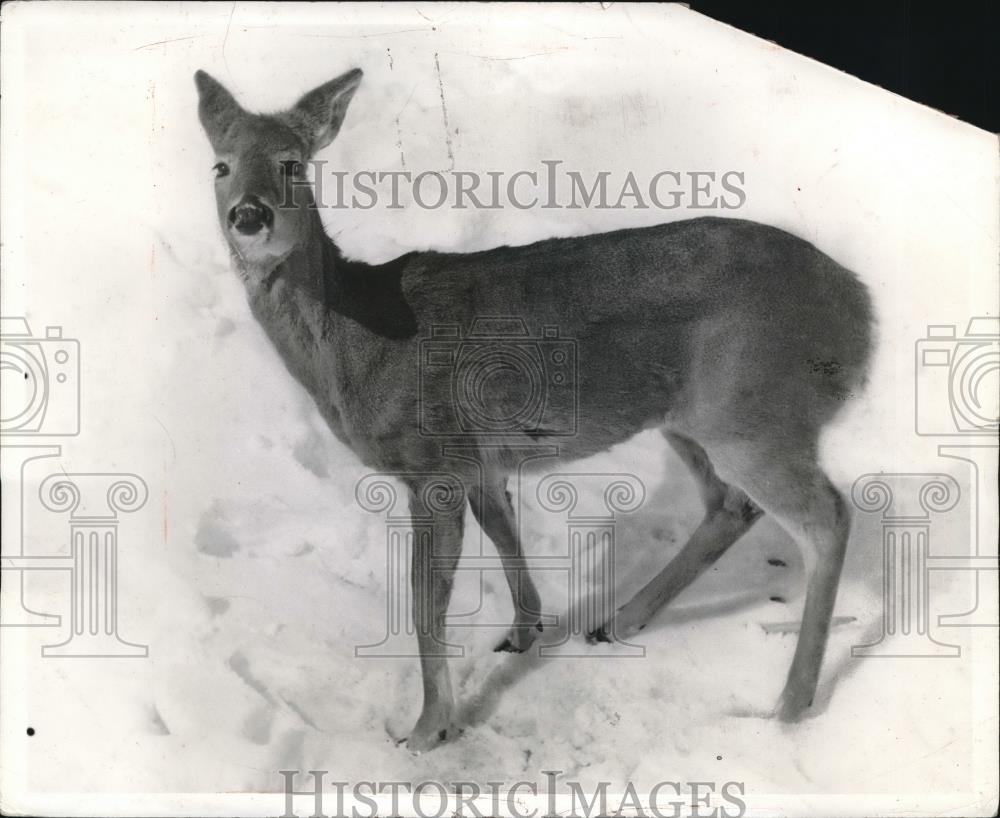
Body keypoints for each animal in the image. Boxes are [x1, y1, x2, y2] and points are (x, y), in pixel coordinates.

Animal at [195, 67, 876, 748]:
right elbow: (502, 527)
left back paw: (789, 707)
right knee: (731, 506)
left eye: (292, 163)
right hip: (692, 419)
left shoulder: (432, 462)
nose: (249, 215)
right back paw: (618, 621)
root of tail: (863, 313)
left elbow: (425, 600)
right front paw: (524, 631)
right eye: (220, 165)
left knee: (827, 518)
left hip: (754, 411)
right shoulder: (479, 459)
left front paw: (427, 730)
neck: (362, 341)